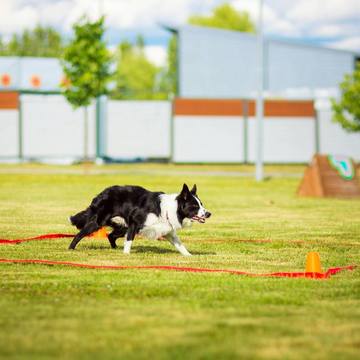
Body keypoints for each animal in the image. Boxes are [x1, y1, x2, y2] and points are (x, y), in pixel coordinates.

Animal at [68, 183, 211, 256]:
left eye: (201, 204)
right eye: (194, 206)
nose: (209, 214)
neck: (169, 209)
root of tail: (101, 194)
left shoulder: (168, 231)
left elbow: (180, 245)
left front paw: (189, 256)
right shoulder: (134, 223)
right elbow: (129, 241)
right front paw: (126, 255)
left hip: (122, 226)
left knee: (110, 236)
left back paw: (115, 249)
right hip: (98, 222)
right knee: (79, 234)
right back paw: (70, 249)